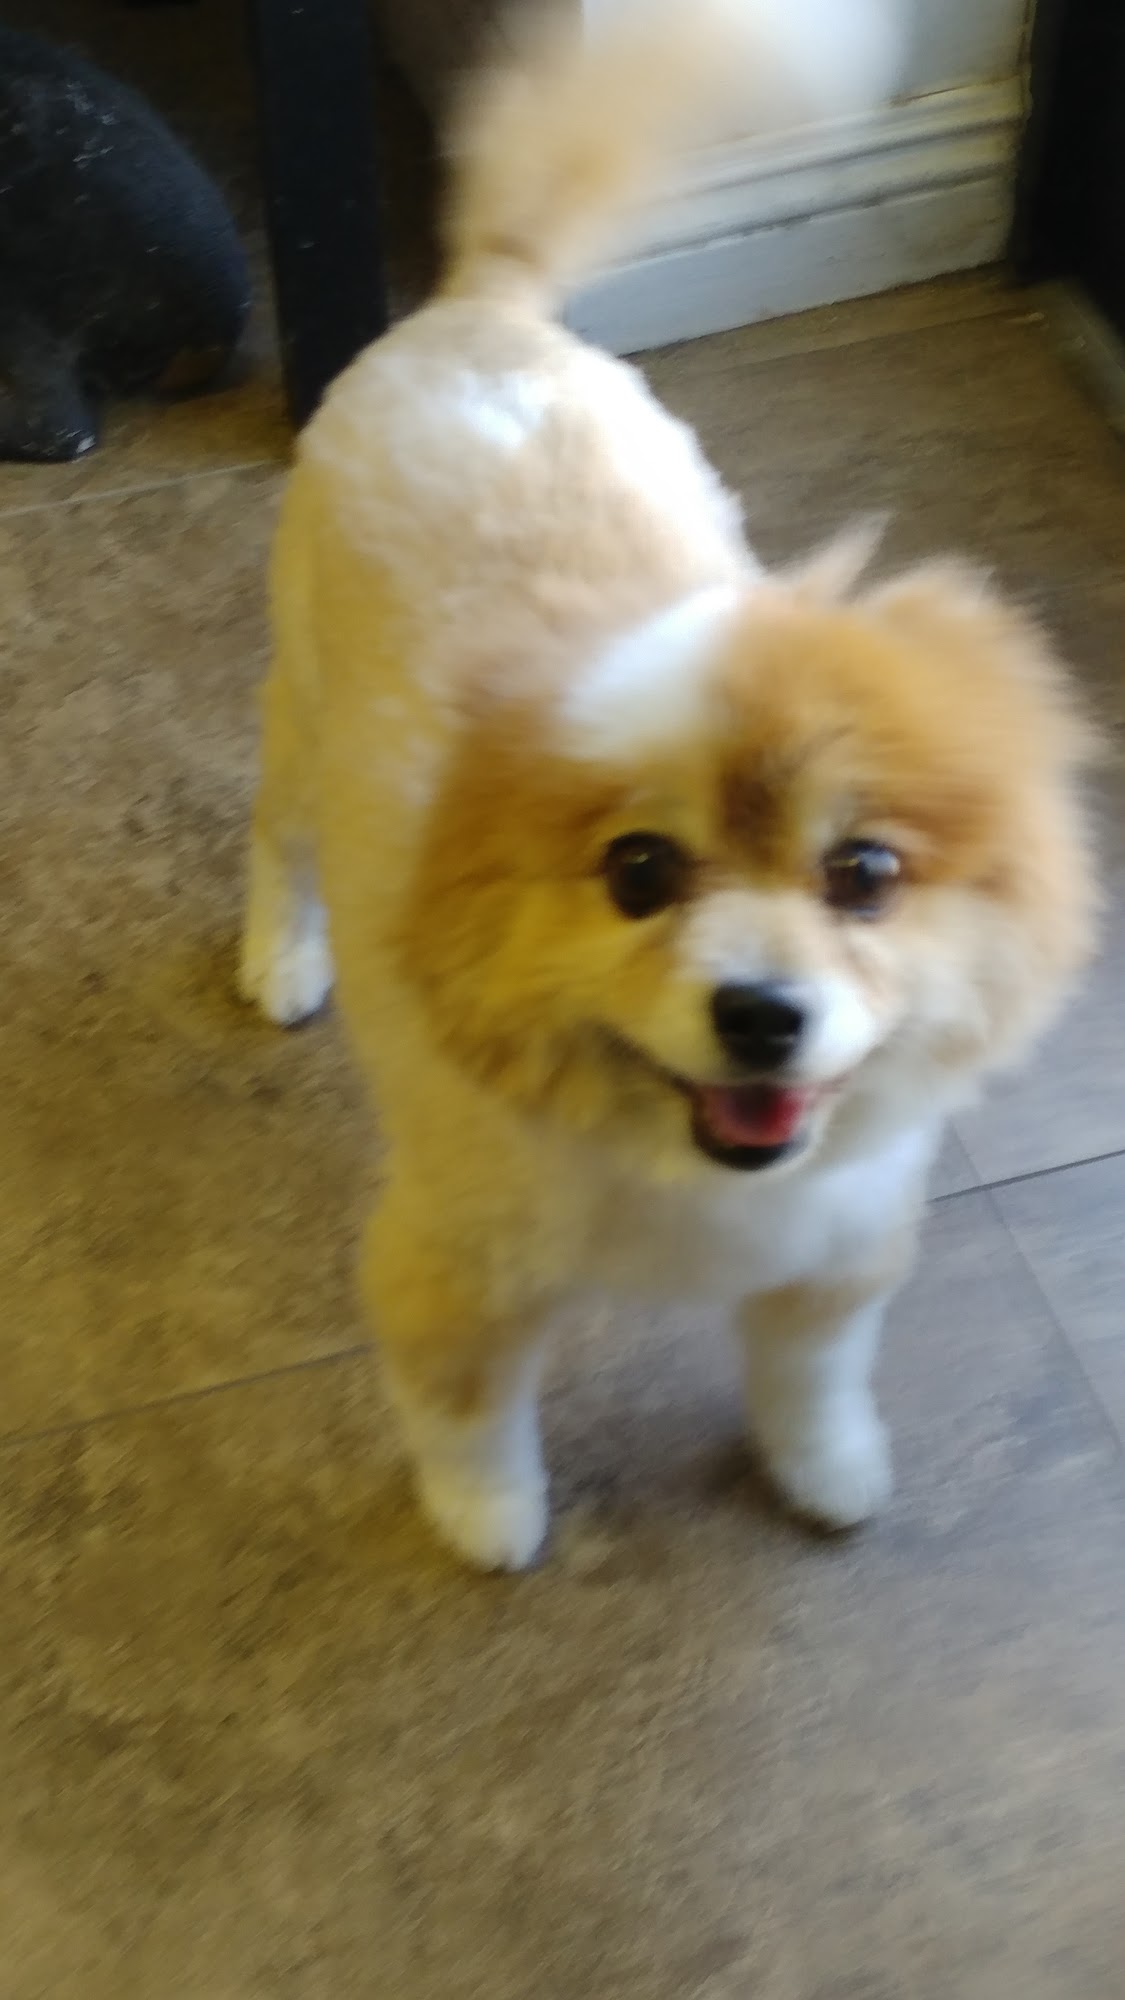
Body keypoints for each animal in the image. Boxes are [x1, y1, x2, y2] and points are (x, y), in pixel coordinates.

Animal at [240, 1, 1096, 1569]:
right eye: (639, 872)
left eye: (863, 875)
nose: (762, 1014)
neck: (672, 1149)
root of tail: (487, 306)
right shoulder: (450, 1264)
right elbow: (468, 1414)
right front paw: (490, 1523)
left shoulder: (837, 1249)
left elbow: (811, 1378)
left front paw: (825, 1470)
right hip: (300, 712)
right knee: (279, 841)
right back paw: (280, 958)